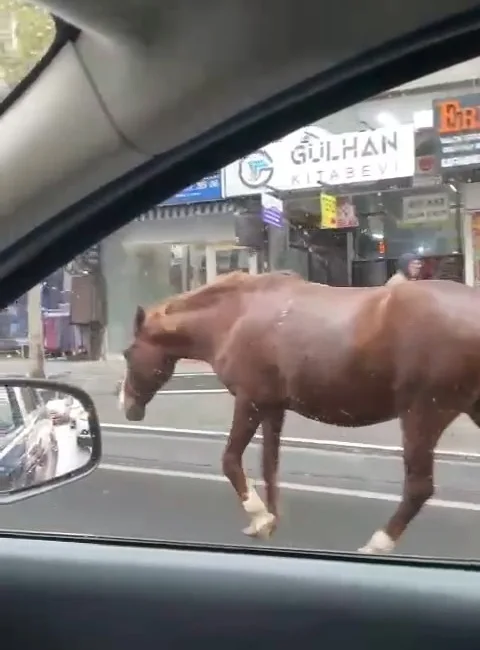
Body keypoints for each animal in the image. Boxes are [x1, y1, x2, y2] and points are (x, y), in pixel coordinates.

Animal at [120, 268, 480, 552]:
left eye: (127, 352)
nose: (126, 406)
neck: (234, 316)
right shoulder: (272, 407)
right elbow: (270, 466)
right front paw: (269, 521)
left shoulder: (250, 401)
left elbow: (231, 460)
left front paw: (260, 516)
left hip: (423, 414)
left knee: (419, 488)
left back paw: (377, 544)